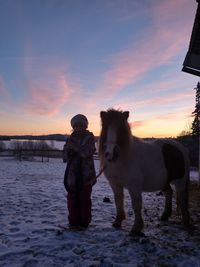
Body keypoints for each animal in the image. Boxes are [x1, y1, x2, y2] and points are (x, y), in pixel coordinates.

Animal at [99, 109, 190, 237]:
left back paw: (185, 222)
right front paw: (118, 221)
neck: (123, 158)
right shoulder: (115, 185)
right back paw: (165, 216)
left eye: (121, 128)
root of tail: (181, 148)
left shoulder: (134, 187)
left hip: (180, 182)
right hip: (164, 181)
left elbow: (136, 206)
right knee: (168, 192)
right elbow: (118, 201)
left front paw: (136, 228)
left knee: (182, 199)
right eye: (104, 126)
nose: (110, 154)